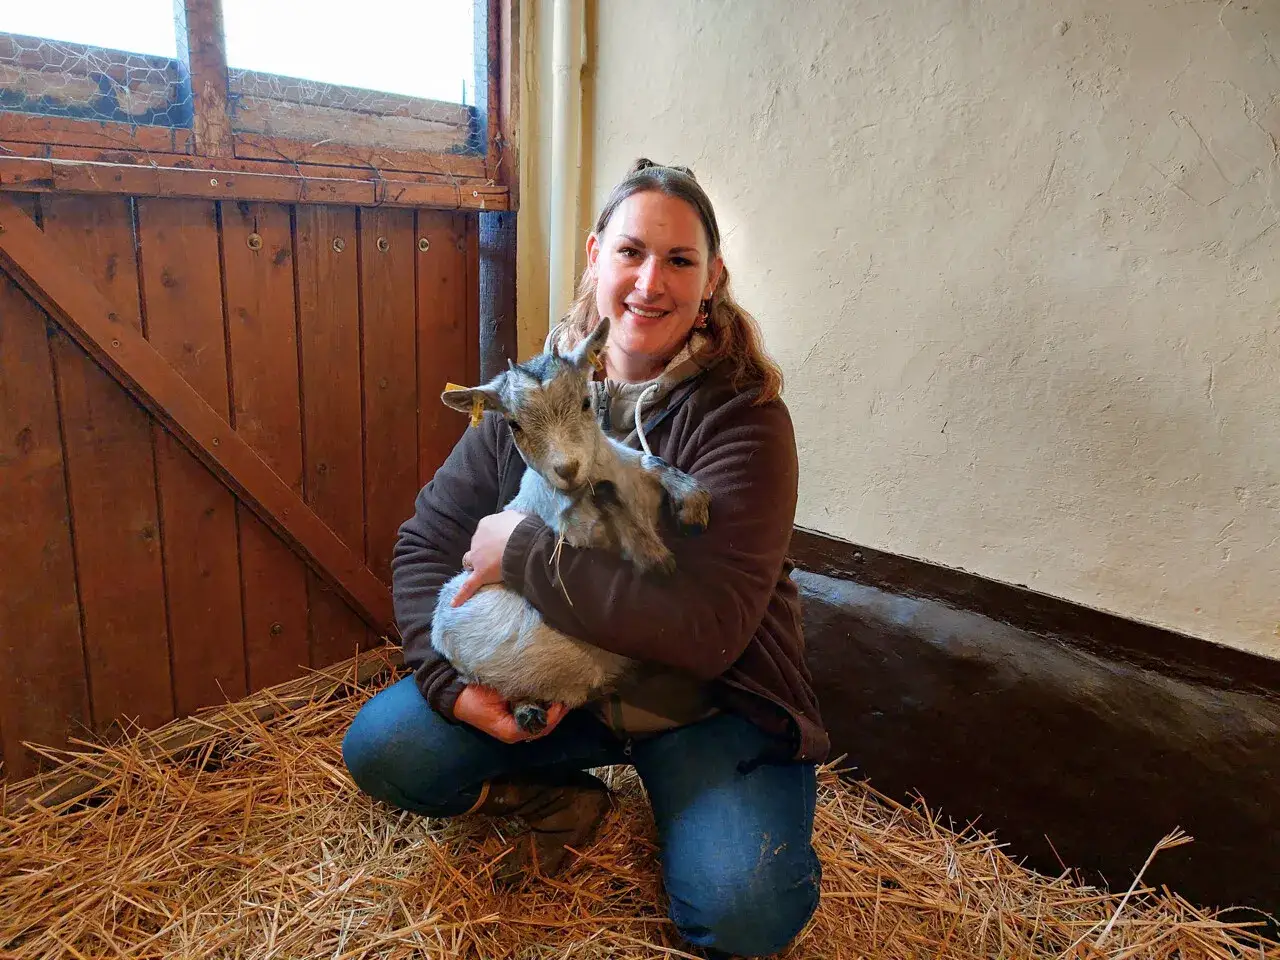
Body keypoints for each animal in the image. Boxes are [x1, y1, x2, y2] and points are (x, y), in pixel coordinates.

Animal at [430, 316, 711, 734]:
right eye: (513, 424)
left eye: (585, 402)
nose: (566, 469)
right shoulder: (575, 529)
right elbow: (613, 510)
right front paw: (657, 557)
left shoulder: (632, 471)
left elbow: (651, 462)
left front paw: (692, 503)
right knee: (484, 681)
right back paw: (526, 710)